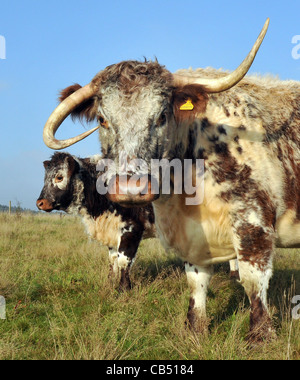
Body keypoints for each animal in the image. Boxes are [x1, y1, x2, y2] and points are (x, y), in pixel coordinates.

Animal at [36, 152, 156, 290]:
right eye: (45, 178)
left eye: (59, 177)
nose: (40, 203)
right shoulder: (111, 231)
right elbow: (112, 260)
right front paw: (110, 284)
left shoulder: (132, 229)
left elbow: (123, 260)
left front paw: (124, 289)